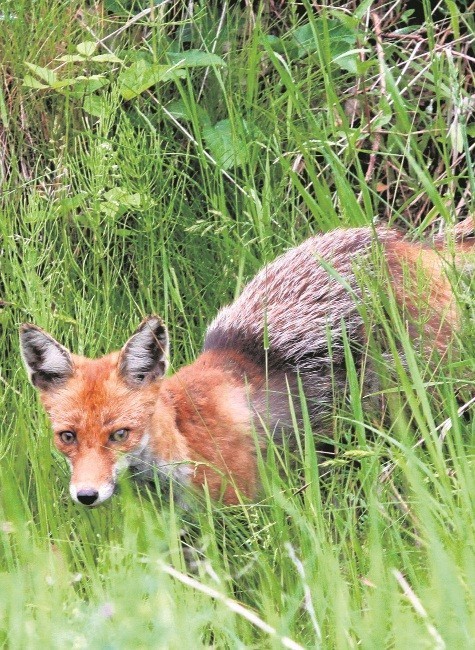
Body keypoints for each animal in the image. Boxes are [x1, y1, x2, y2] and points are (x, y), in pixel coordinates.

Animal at [20, 220, 474, 504]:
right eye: (67, 437)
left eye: (120, 435)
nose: (86, 496)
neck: (184, 435)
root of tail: (406, 244)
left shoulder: (241, 506)